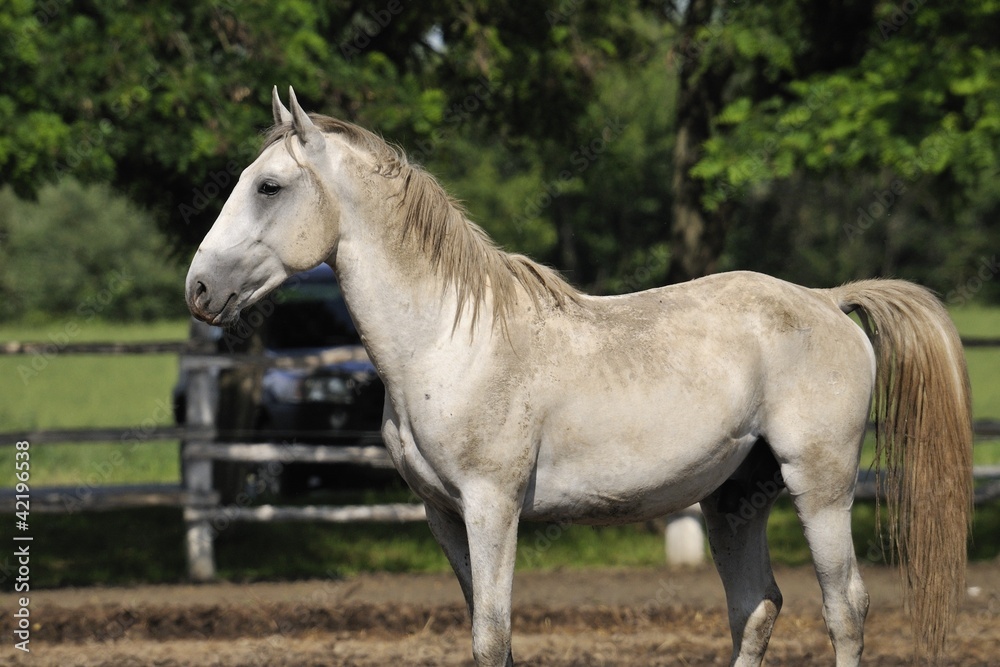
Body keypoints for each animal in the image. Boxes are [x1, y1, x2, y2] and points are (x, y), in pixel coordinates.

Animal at [185, 87, 973, 666]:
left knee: (845, 608)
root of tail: (828, 300)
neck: (447, 341)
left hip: (821, 487)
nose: (198, 289)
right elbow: (486, 634)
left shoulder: (491, 507)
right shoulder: (443, 514)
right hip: (735, 499)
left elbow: (493, 636)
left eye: (268, 186)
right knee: (756, 608)